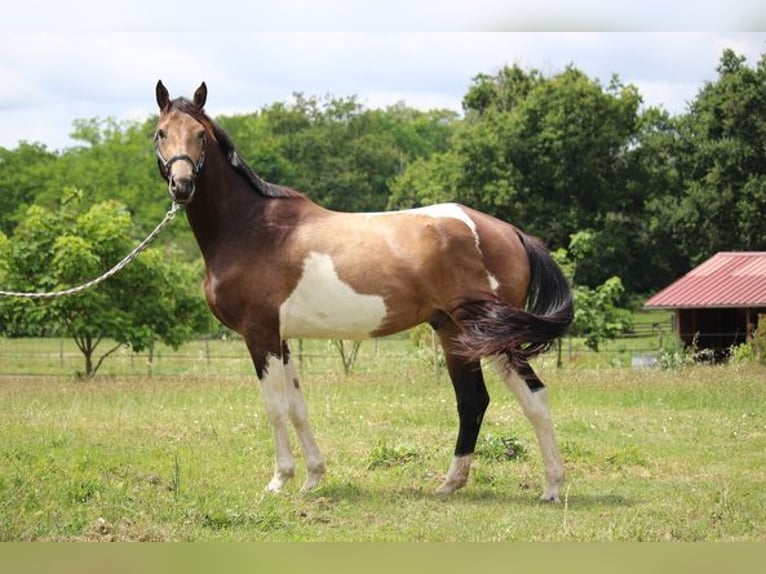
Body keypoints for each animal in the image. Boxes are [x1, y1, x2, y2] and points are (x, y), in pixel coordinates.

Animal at [153, 82, 576, 504]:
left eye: (200, 134)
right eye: (161, 133)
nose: (182, 185)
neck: (254, 229)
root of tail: (512, 233)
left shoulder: (260, 335)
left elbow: (275, 406)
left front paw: (279, 480)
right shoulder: (282, 339)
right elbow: (297, 406)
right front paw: (313, 477)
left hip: (494, 336)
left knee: (534, 397)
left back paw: (552, 487)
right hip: (456, 334)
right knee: (473, 402)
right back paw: (450, 483)